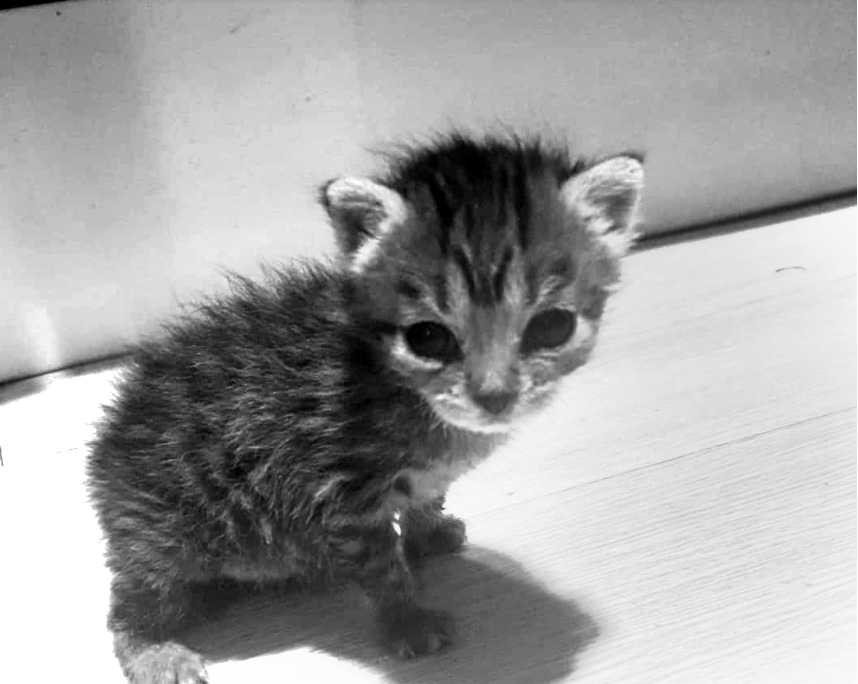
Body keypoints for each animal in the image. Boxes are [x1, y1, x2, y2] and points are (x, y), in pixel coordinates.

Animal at [87, 132, 643, 684]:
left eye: (552, 326)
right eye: (428, 338)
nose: (494, 396)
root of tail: (107, 441)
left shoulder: (419, 478)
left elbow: (425, 499)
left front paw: (428, 533)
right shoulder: (340, 496)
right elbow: (383, 569)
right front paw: (407, 621)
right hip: (170, 537)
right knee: (130, 602)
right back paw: (154, 651)